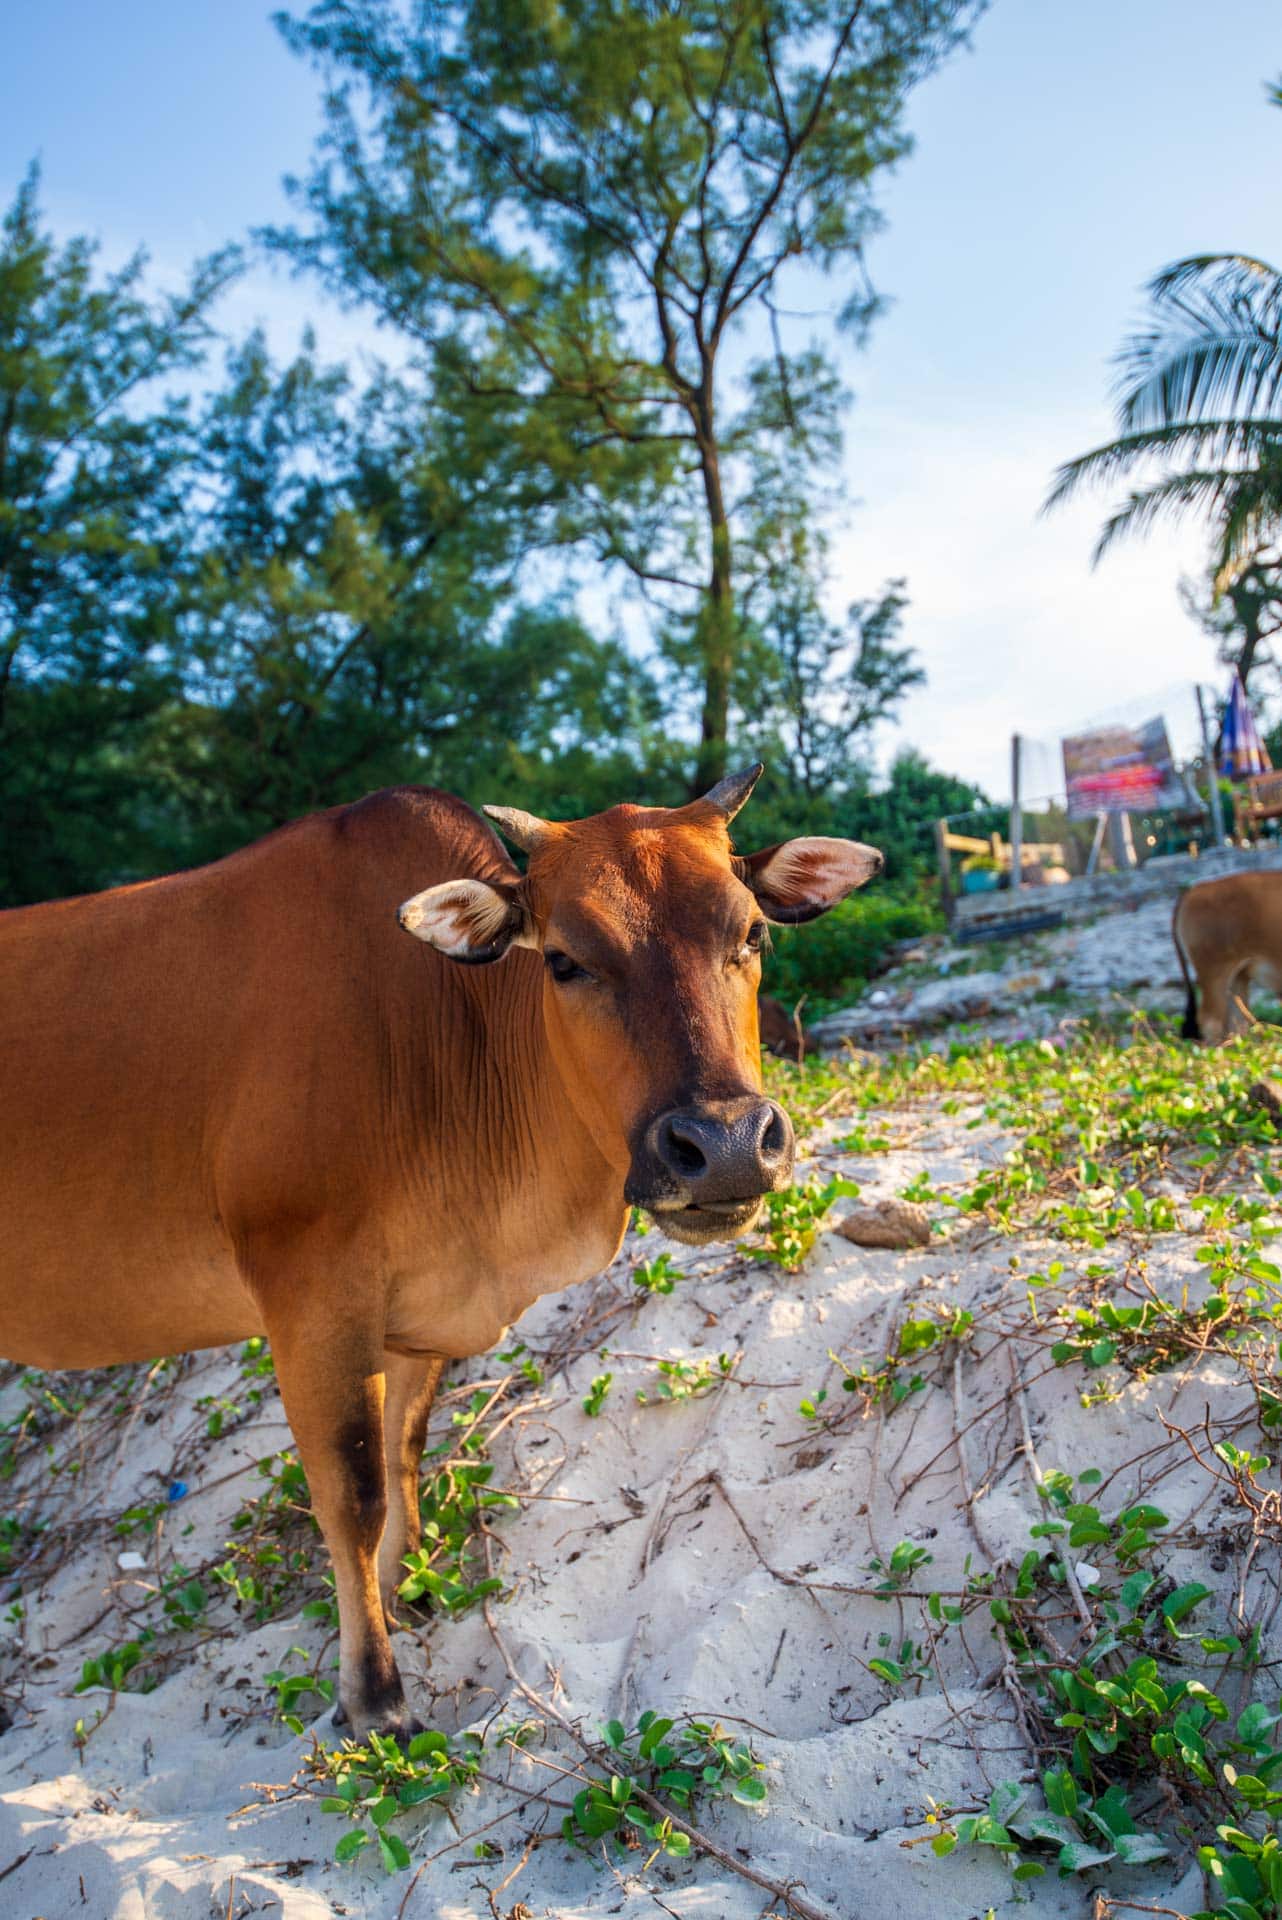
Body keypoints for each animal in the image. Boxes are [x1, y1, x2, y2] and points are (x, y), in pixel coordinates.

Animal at [0, 764, 882, 1743]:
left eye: (751, 933)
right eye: (565, 959)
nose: (724, 1144)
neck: (440, 1035)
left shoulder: (412, 1314)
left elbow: (403, 1455)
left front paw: (405, 1594)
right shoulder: (309, 1294)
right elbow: (351, 1491)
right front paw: (373, 1693)